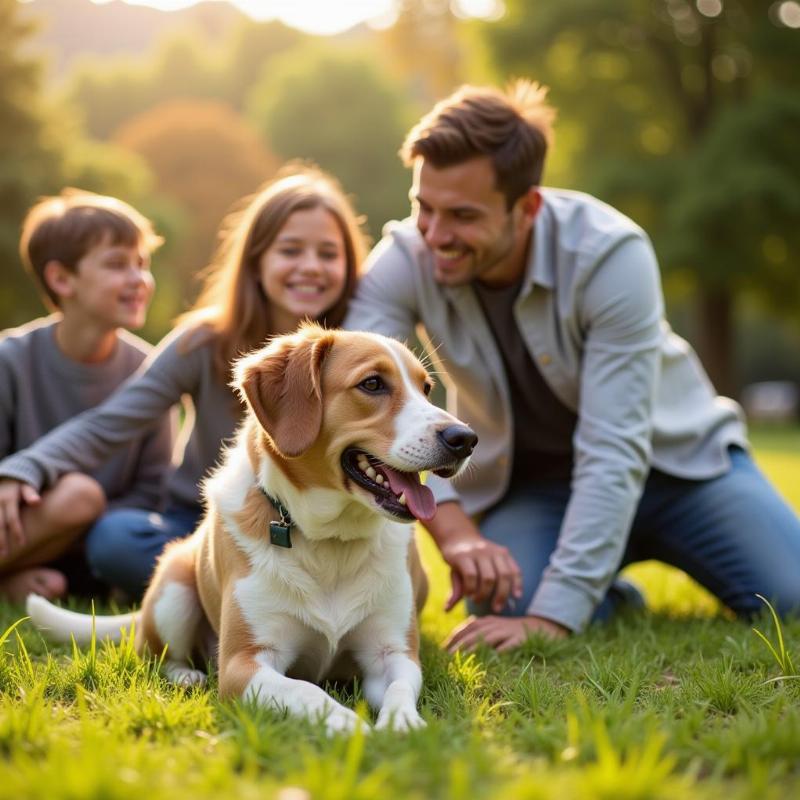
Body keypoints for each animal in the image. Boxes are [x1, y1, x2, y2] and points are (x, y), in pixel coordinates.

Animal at [26, 322, 476, 736]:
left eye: (426, 388)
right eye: (372, 384)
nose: (465, 438)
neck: (330, 541)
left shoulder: (392, 654)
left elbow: (399, 689)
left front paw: (403, 724)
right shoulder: (244, 665)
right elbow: (307, 690)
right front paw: (348, 725)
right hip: (174, 590)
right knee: (161, 657)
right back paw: (187, 675)